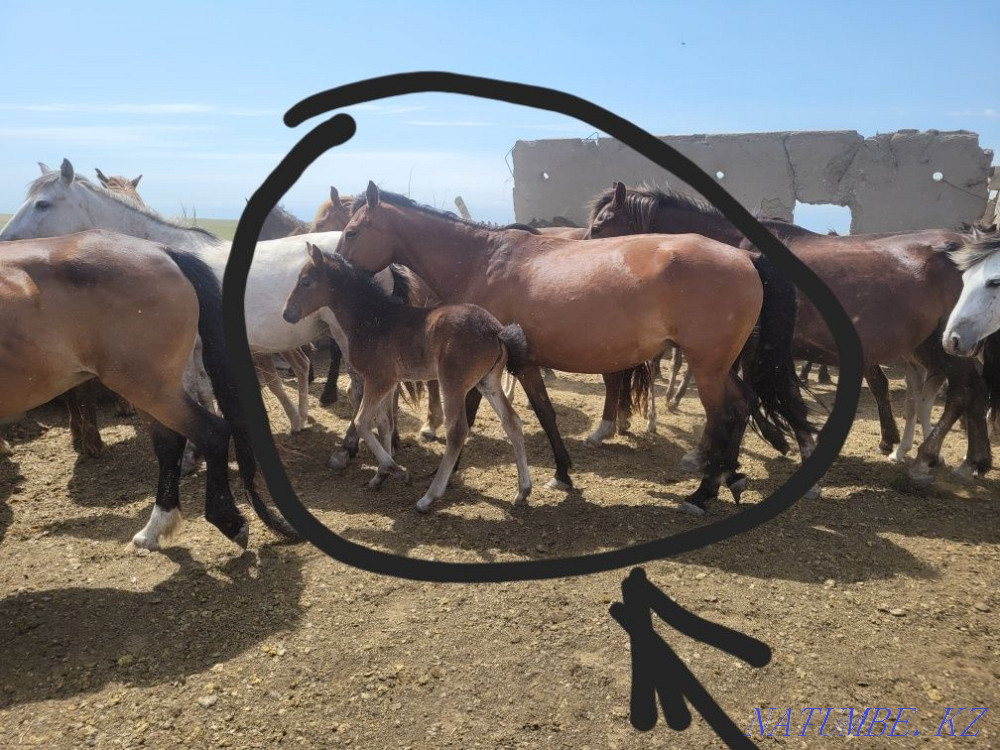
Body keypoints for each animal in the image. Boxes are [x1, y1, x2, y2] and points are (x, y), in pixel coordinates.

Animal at [0, 230, 296, 549]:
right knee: (169, 444)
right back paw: (157, 527)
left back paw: (227, 520)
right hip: (147, 389)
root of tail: (162, 251)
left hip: (148, 387)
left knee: (211, 433)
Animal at [283, 242, 531, 512]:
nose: (287, 314)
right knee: (512, 422)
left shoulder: (378, 379)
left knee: (457, 432)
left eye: (306, 281)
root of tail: (496, 330)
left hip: (452, 383)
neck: (372, 319)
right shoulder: (389, 384)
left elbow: (361, 422)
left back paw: (428, 497)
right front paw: (380, 476)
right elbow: (385, 424)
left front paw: (399, 471)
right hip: (488, 381)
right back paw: (522, 491)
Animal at [338, 181, 808, 513]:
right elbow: (544, 414)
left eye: (352, 231)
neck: (483, 260)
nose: (339, 270)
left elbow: (471, 419)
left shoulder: (481, 367)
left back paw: (703, 492)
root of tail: (745, 257)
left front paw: (446, 479)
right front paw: (562, 474)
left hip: (707, 367)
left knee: (726, 413)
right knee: (743, 405)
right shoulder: (521, 364)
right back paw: (730, 477)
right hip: (719, 365)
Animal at [587, 182, 993, 482]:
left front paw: (707, 453)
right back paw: (970, 461)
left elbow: (736, 399)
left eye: (599, 226)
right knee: (971, 394)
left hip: (949, 345)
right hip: (933, 347)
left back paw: (926, 458)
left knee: (964, 392)